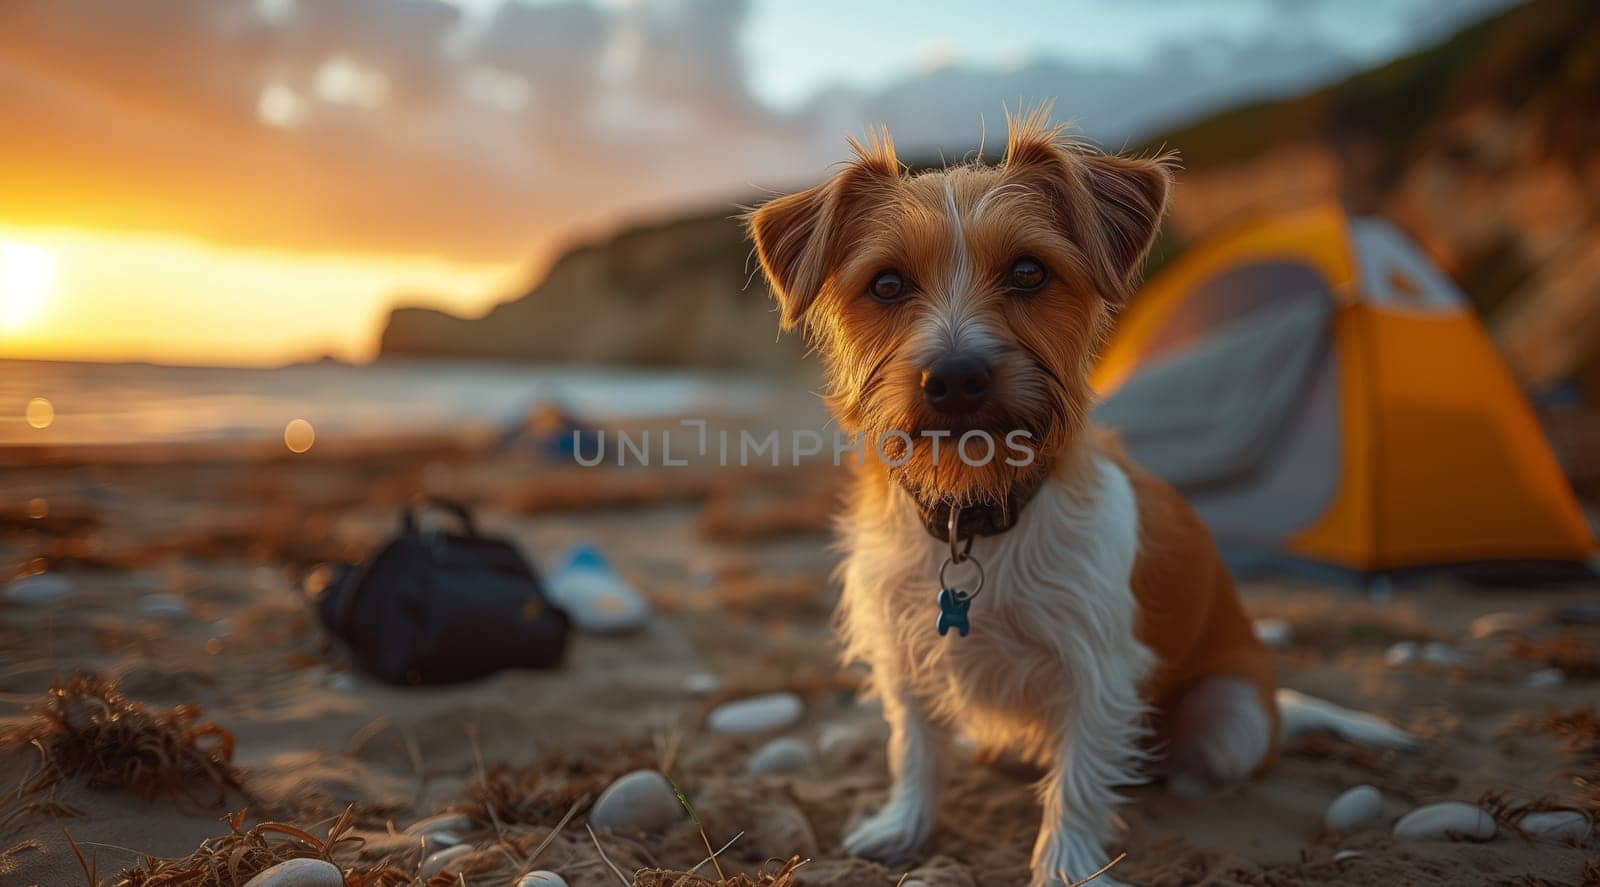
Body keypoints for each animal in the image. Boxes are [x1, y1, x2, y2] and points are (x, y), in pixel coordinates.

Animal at [742, 107, 1280, 877]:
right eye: (887, 283)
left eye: (1029, 271)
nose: (955, 377)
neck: (976, 510)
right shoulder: (904, 652)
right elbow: (913, 749)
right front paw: (903, 825)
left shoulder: (1098, 668)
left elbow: (1079, 777)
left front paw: (1066, 865)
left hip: (1232, 715)